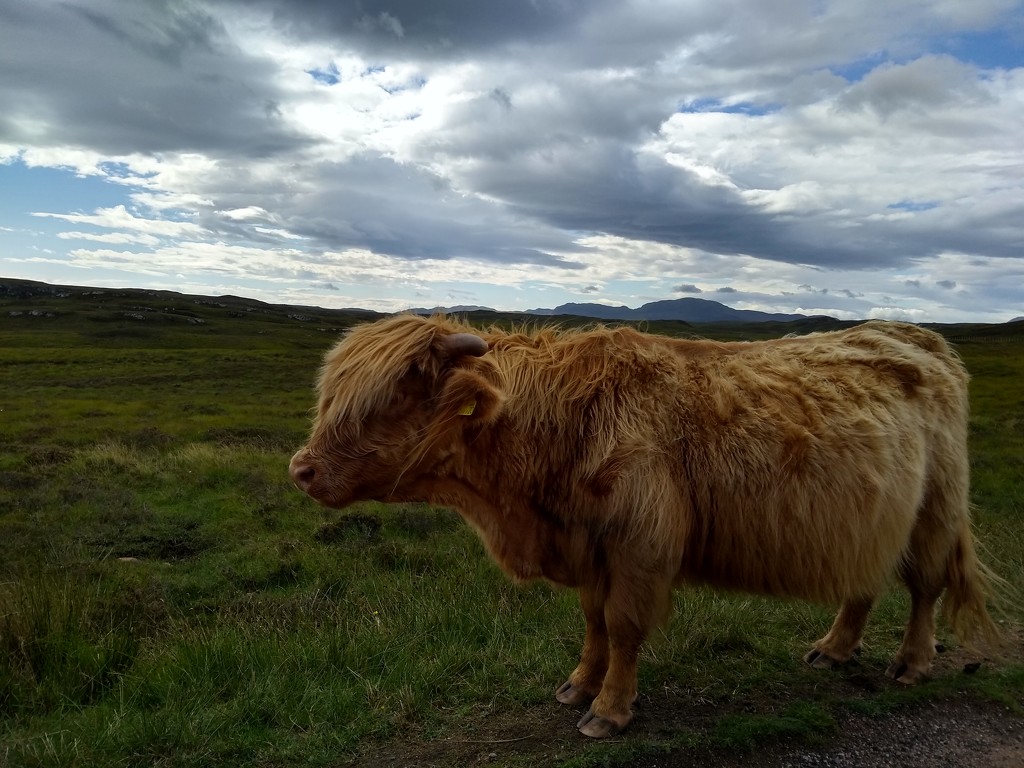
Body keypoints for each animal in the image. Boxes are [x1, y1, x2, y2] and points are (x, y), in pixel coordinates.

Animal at [288, 313, 999, 741]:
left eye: (389, 399)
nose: (302, 468)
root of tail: (917, 335)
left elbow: (625, 627)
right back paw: (834, 647)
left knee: (925, 586)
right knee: (864, 579)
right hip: (867, 518)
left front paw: (608, 710)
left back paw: (912, 662)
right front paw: (578, 686)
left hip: (935, 507)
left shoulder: (639, 545)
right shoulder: (591, 546)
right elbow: (594, 623)